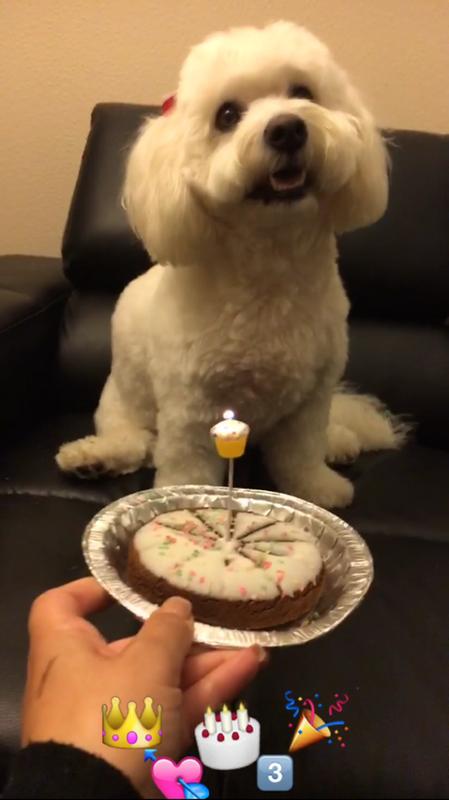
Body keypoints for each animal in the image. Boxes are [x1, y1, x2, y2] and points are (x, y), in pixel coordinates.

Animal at [57, 23, 406, 506]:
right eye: (226, 115)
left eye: (304, 92)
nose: (287, 129)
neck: (271, 268)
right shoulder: (191, 409)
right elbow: (188, 467)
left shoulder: (312, 399)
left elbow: (301, 455)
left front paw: (317, 489)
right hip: (120, 401)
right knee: (134, 441)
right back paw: (94, 458)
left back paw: (340, 440)